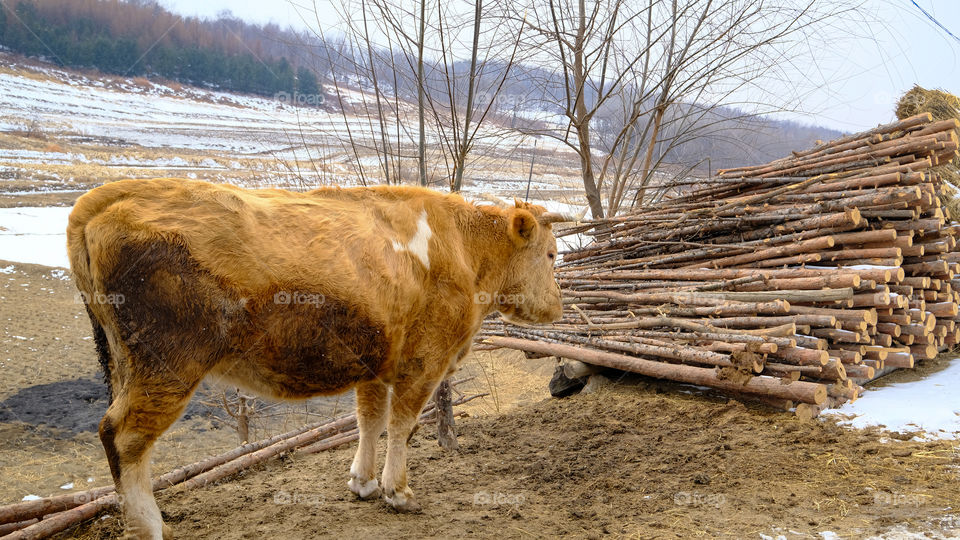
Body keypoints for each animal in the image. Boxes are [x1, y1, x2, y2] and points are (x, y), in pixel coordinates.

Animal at [67, 178, 571, 539]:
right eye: (550, 254)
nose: (557, 307)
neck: (462, 248)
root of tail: (111, 194)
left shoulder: (374, 363)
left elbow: (370, 420)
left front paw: (363, 483)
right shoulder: (423, 361)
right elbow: (402, 425)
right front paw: (398, 491)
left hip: (126, 366)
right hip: (167, 367)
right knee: (126, 438)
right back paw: (150, 528)